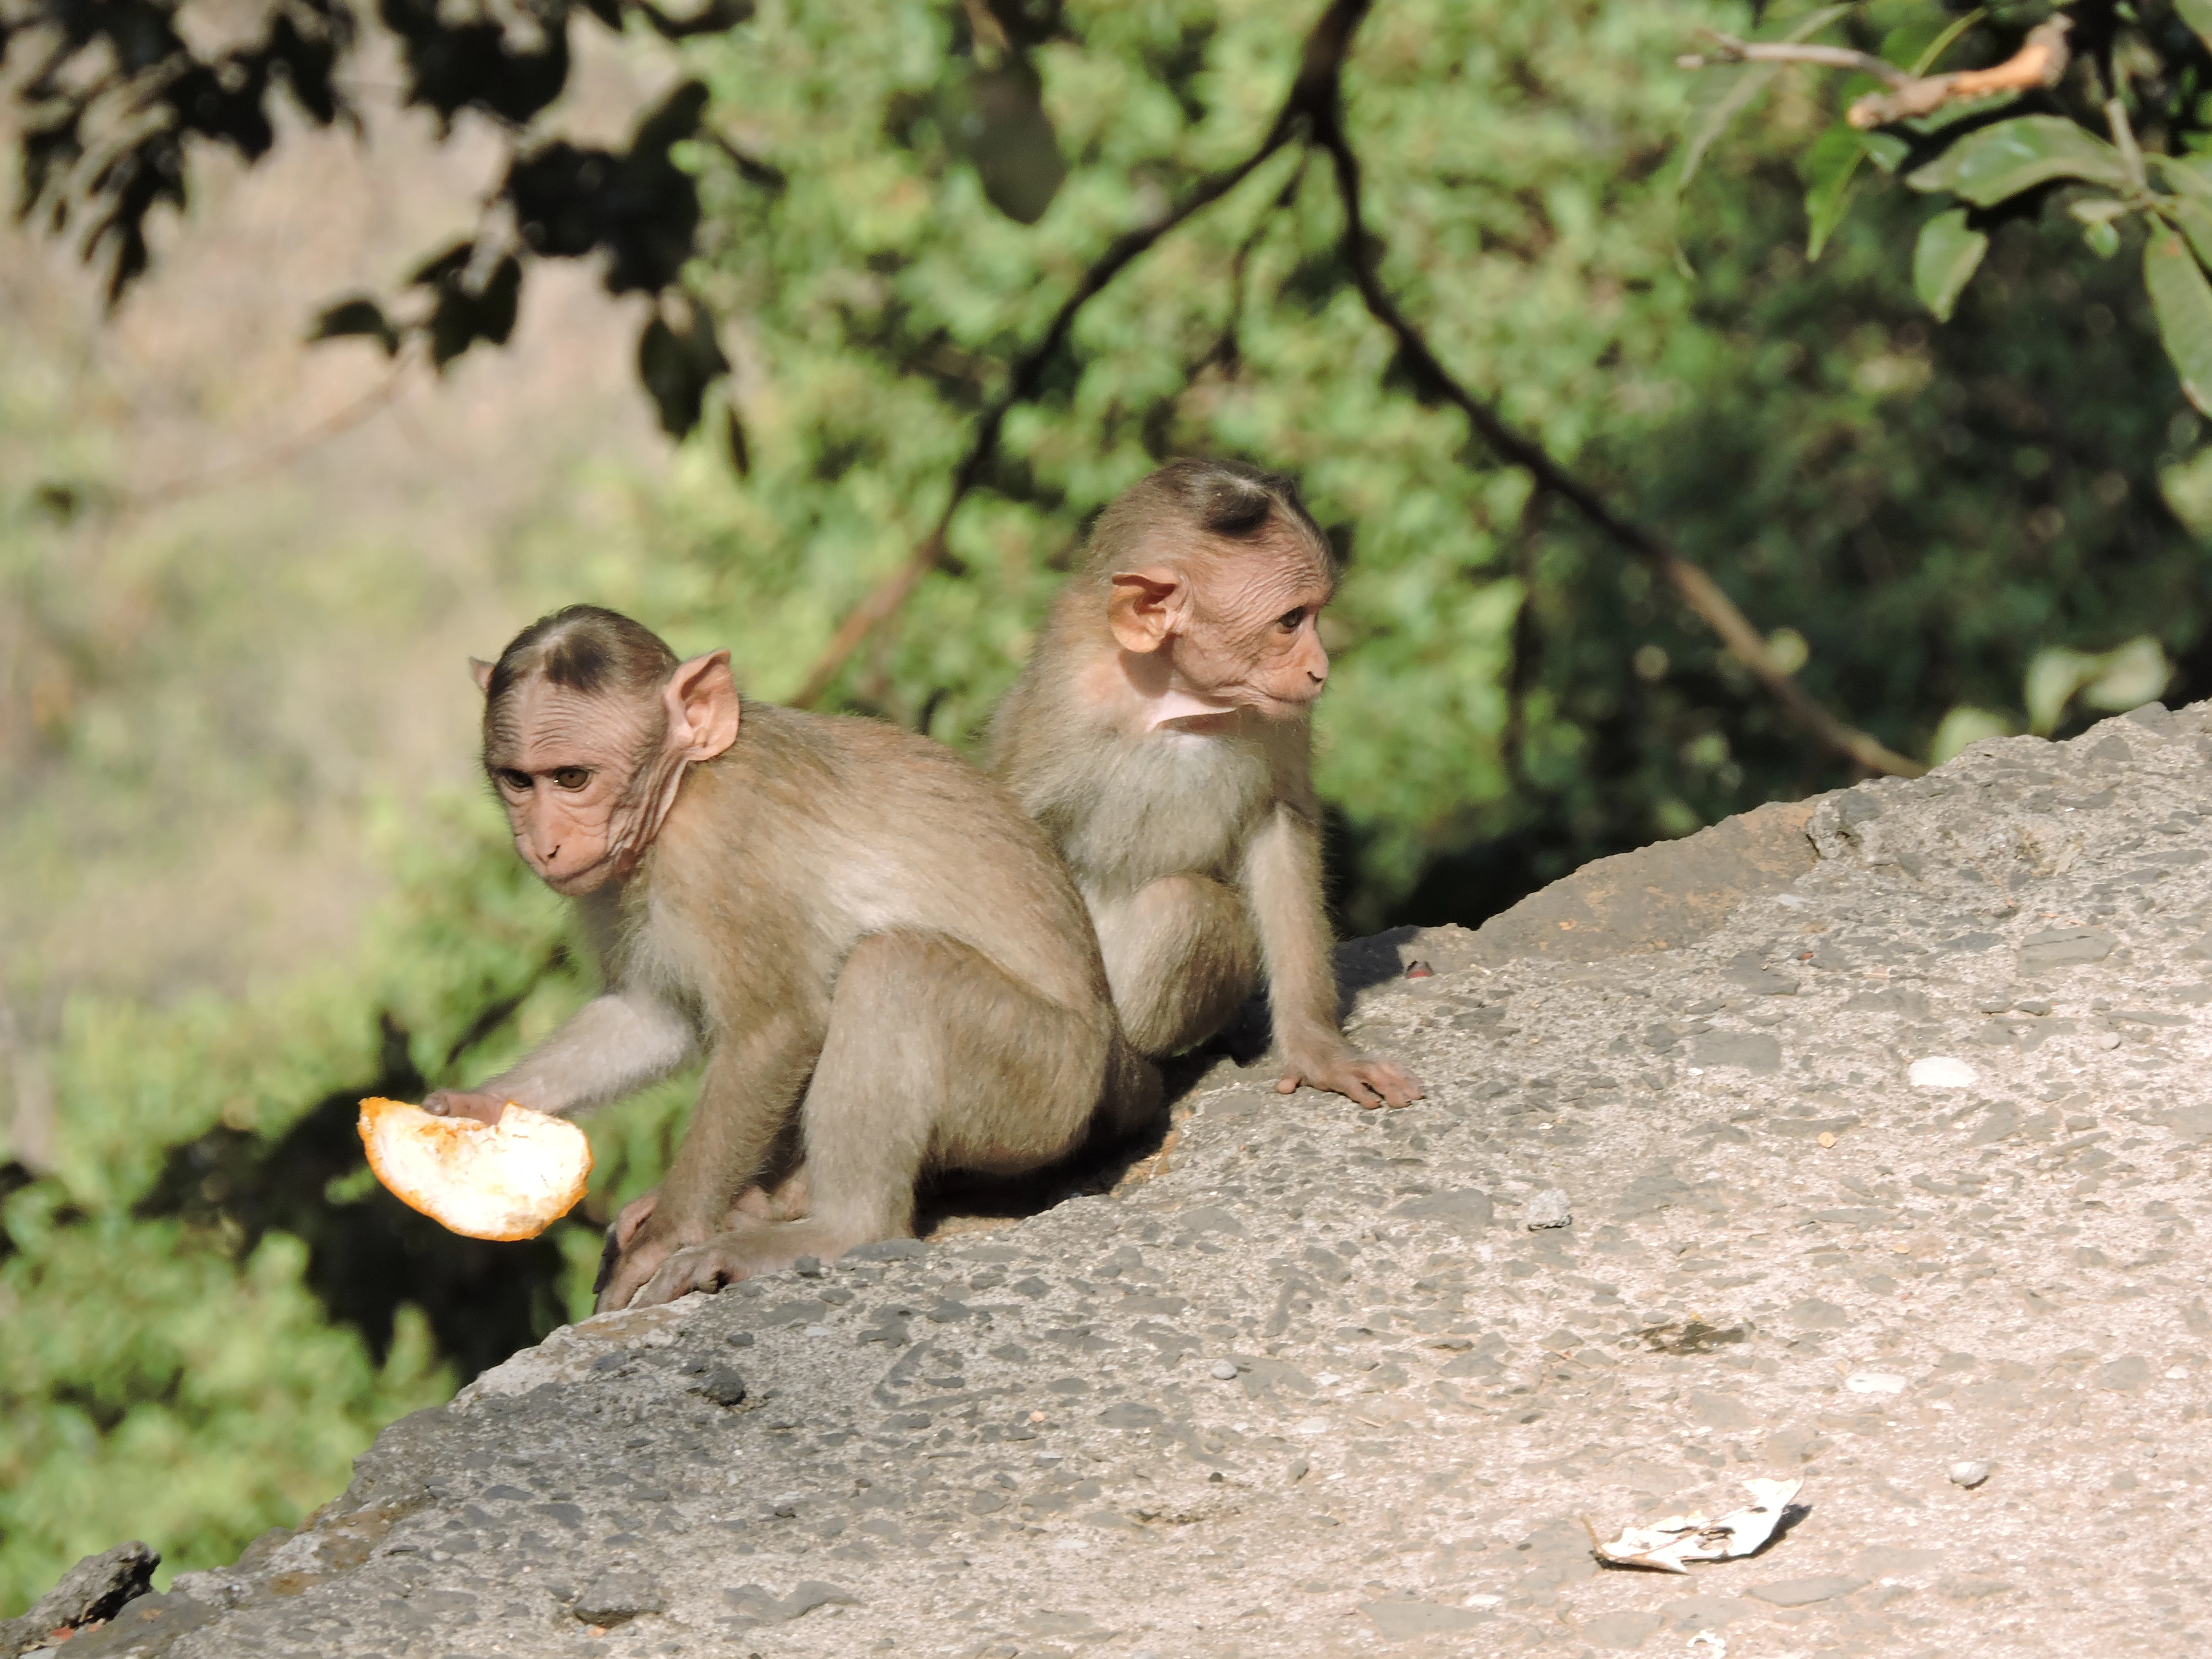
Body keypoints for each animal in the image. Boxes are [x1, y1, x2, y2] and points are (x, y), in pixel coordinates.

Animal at [423, 604, 1159, 1310]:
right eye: (519, 781)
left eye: (572, 778)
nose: (543, 842)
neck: (682, 788)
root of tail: (1121, 1069)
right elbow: (653, 1016)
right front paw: (483, 1102)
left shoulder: (720, 854)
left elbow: (773, 1032)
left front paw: (667, 1237)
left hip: (1046, 1088)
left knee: (896, 972)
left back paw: (838, 1229)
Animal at [989, 459, 1422, 1110]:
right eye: (1290, 621)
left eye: (1316, 614)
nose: (1320, 670)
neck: (1174, 698)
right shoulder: (1067, 700)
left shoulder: (1280, 719)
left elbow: (1279, 826)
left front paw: (1316, 1046)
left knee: (1185, 907)